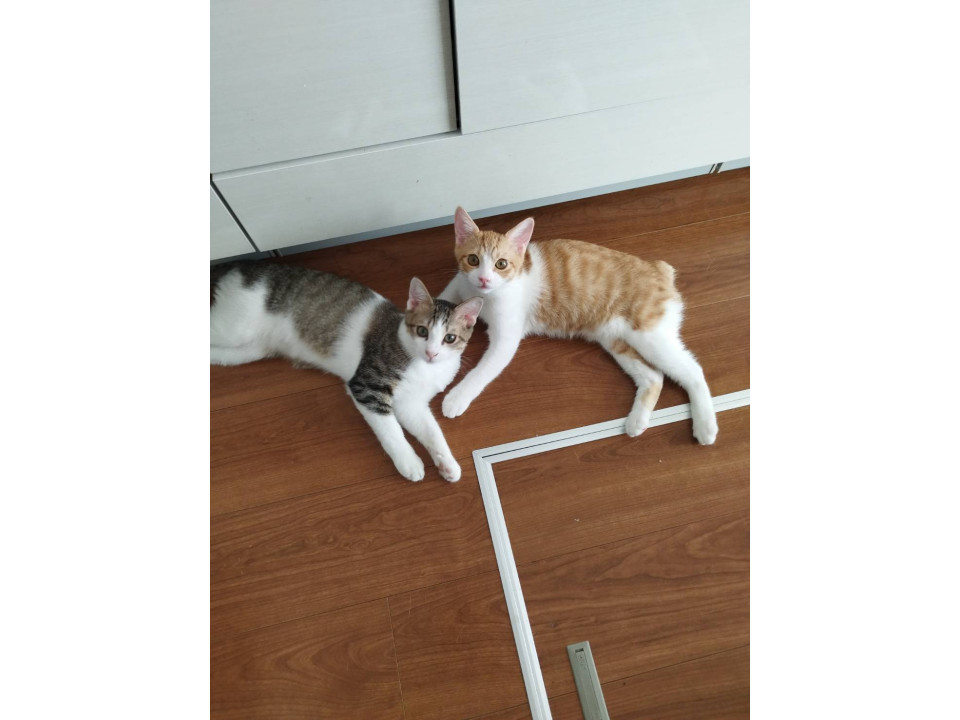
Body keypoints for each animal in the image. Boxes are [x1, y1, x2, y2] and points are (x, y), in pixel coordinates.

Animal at [211, 261, 483, 481]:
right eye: (422, 331)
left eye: (449, 338)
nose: (431, 353)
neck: (422, 366)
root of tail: (245, 266)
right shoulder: (366, 385)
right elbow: (391, 430)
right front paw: (409, 462)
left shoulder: (411, 404)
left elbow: (432, 431)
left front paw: (447, 464)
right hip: (235, 328)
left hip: (250, 349)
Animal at [438, 207, 719, 445]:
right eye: (473, 260)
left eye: (501, 264)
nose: (484, 279)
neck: (484, 296)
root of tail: (659, 269)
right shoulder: (458, 284)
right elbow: (445, 296)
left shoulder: (506, 338)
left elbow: (482, 371)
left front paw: (457, 397)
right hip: (614, 337)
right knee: (653, 376)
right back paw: (637, 421)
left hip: (649, 334)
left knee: (692, 370)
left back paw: (705, 425)